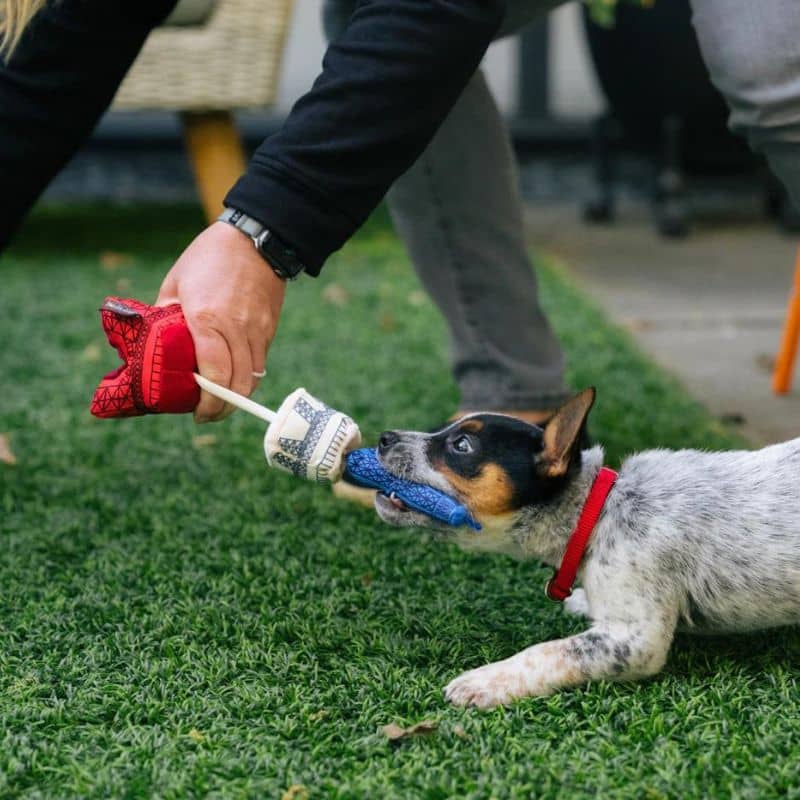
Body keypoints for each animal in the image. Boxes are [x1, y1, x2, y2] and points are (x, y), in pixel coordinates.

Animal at [374, 388, 800, 708]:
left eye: (462, 445)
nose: (384, 437)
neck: (598, 511)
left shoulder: (636, 641)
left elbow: (545, 652)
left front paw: (485, 680)